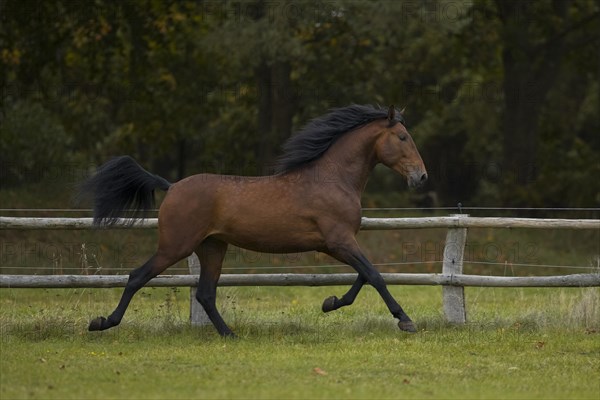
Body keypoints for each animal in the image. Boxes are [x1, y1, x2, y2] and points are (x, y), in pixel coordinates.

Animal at [79, 104, 426, 336]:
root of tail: (172, 186)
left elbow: (364, 275)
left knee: (205, 293)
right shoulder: (339, 241)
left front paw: (330, 303)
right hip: (175, 247)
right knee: (137, 276)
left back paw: (229, 334)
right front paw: (405, 320)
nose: (421, 177)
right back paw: (102, 322)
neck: (333, 179)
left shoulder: (337, 244)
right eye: (402, 137)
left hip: (212, 247)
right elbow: (375, 275)